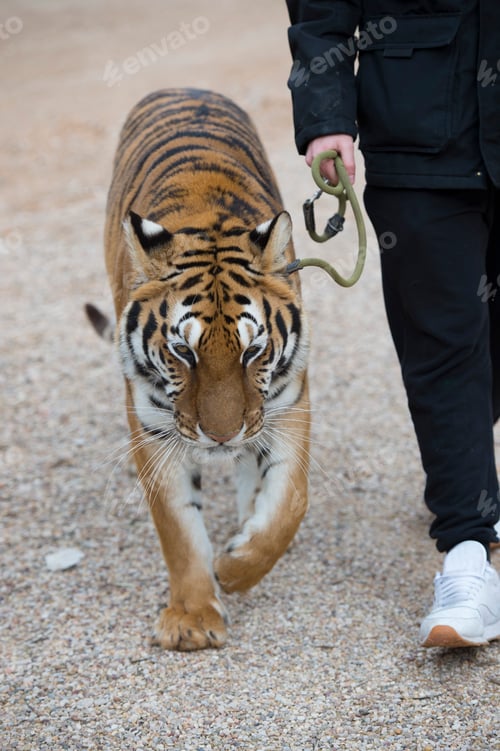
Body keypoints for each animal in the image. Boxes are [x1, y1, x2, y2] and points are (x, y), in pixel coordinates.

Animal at [100, 88, 310, 651]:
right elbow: (177, 528)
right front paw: (192, 620)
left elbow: (287, 503)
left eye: (252, 352)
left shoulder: (287, 405)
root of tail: (181, 86)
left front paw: (236, 566)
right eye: (183, 352)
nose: (220, 436)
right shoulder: (152, 424)